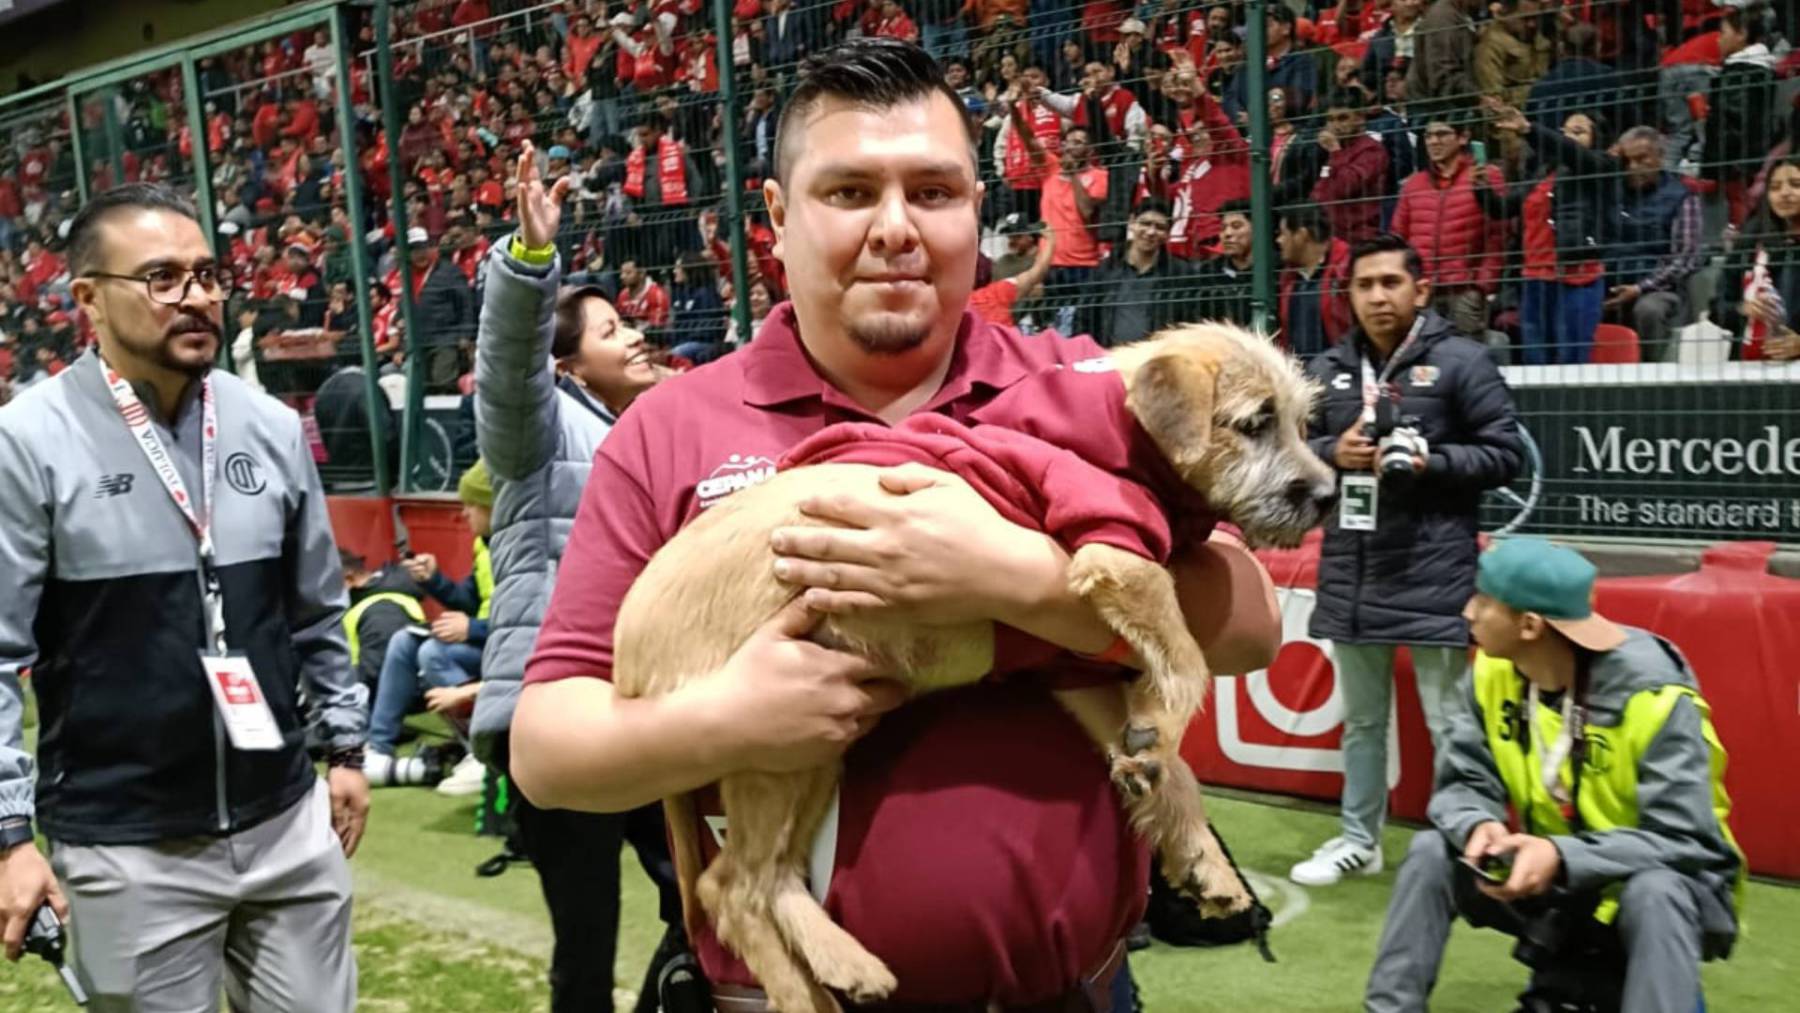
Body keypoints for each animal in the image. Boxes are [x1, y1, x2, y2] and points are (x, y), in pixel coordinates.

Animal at [619, 323, 1339, 1013]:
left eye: (1301, 421)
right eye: (1254, 422)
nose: (1330, 496)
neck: (1125, 432)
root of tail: (627, 669)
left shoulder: (1074, 673)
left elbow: (1175, 763)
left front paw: (1197, 849)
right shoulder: (1115, 550)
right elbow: (1185, 656)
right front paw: (1162, 729)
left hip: (815, 744)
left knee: (764, 877)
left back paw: (843, 966)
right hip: (768, 740)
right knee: (732, 886)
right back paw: (803, 996)